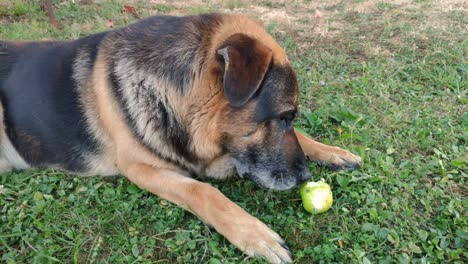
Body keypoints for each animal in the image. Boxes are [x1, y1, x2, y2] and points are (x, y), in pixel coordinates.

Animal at [0, 13, 362, 262]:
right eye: (284, 116)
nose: (304, 177)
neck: (171, 96)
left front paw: (332, 151)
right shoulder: (141, 169)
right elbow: (203, 192)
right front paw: (255, 235)